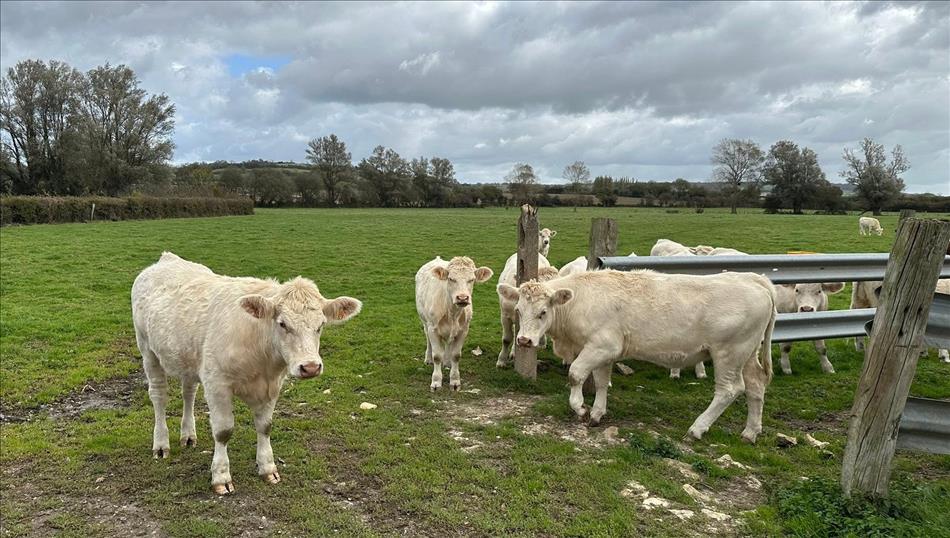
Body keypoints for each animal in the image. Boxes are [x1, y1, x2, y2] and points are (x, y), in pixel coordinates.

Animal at [131, 252, 362, 495]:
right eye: (282, 323)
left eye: (321, 324)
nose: (310, 367)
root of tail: (168, 259)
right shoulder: (217, 384)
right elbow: (223, 431)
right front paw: (221, 476)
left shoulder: (272, 385)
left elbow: (265, 426)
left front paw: (268, 468)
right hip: (147, 349)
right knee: (159, 396)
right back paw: (161, 444)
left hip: (188, 358)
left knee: (188, 392)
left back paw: (188, 435)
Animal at [416, 256, 493, 390]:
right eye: (451, 279)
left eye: (472, 279)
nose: (462, 298)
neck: (452, 313)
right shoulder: (433, 329)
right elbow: (437, 356)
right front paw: (436, 381)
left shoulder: (464, 330)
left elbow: (456, 355)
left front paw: (455, 381)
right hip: (424, 321)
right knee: (427, 339)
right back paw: (428, 359)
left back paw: (447, 363)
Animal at [497, 270, 776, 443]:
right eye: (519, 310)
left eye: (543, 312)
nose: (524, 340)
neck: (580, 302)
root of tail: (755, 280)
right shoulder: (603, 351)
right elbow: (601, 382)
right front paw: (597, 413)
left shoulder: (601, 346)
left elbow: (575, 374)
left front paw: (580, 408)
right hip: (747, 354)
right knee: (756, 386)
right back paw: (750, 432)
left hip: (728, 354)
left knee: (729, 390)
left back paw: (697, 429)